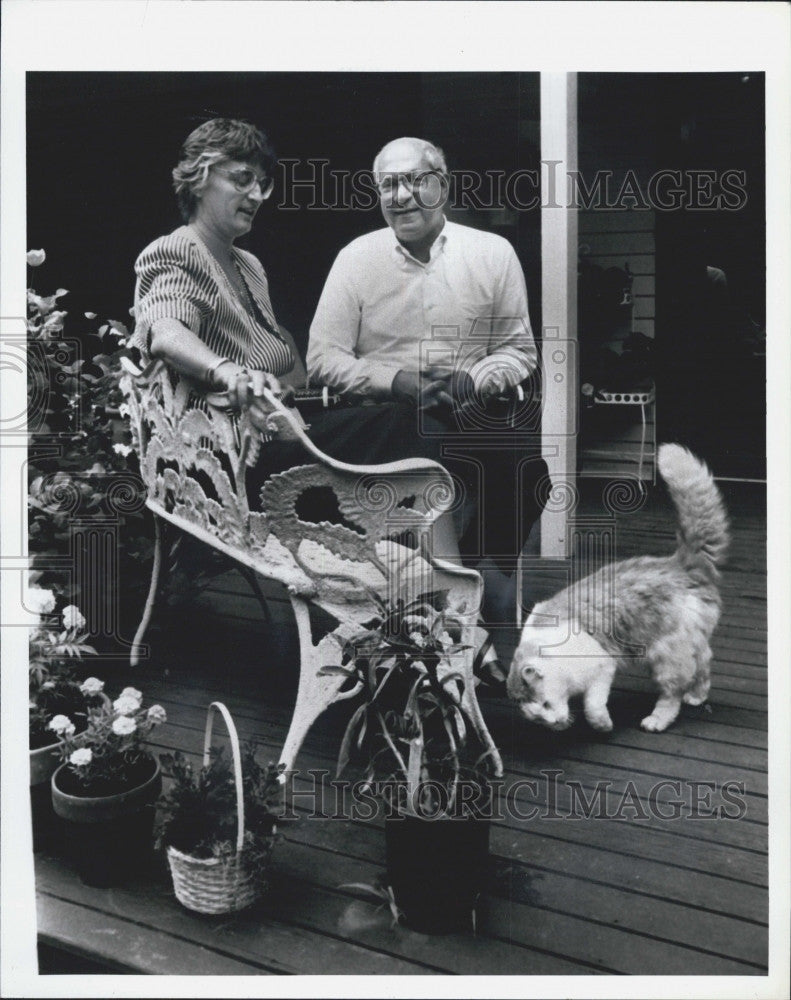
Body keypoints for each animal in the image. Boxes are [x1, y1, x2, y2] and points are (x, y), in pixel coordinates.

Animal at [508, 446, 732, 736]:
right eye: (538, 718)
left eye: (545, 703)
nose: (556, 723)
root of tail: (679, 562)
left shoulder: (603, 667)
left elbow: (593, 706)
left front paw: (603, 726)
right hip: (684, 645)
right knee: (704, 661)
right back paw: (697, 695)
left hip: (665, 656)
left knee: (672, 695)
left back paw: (657, 720)